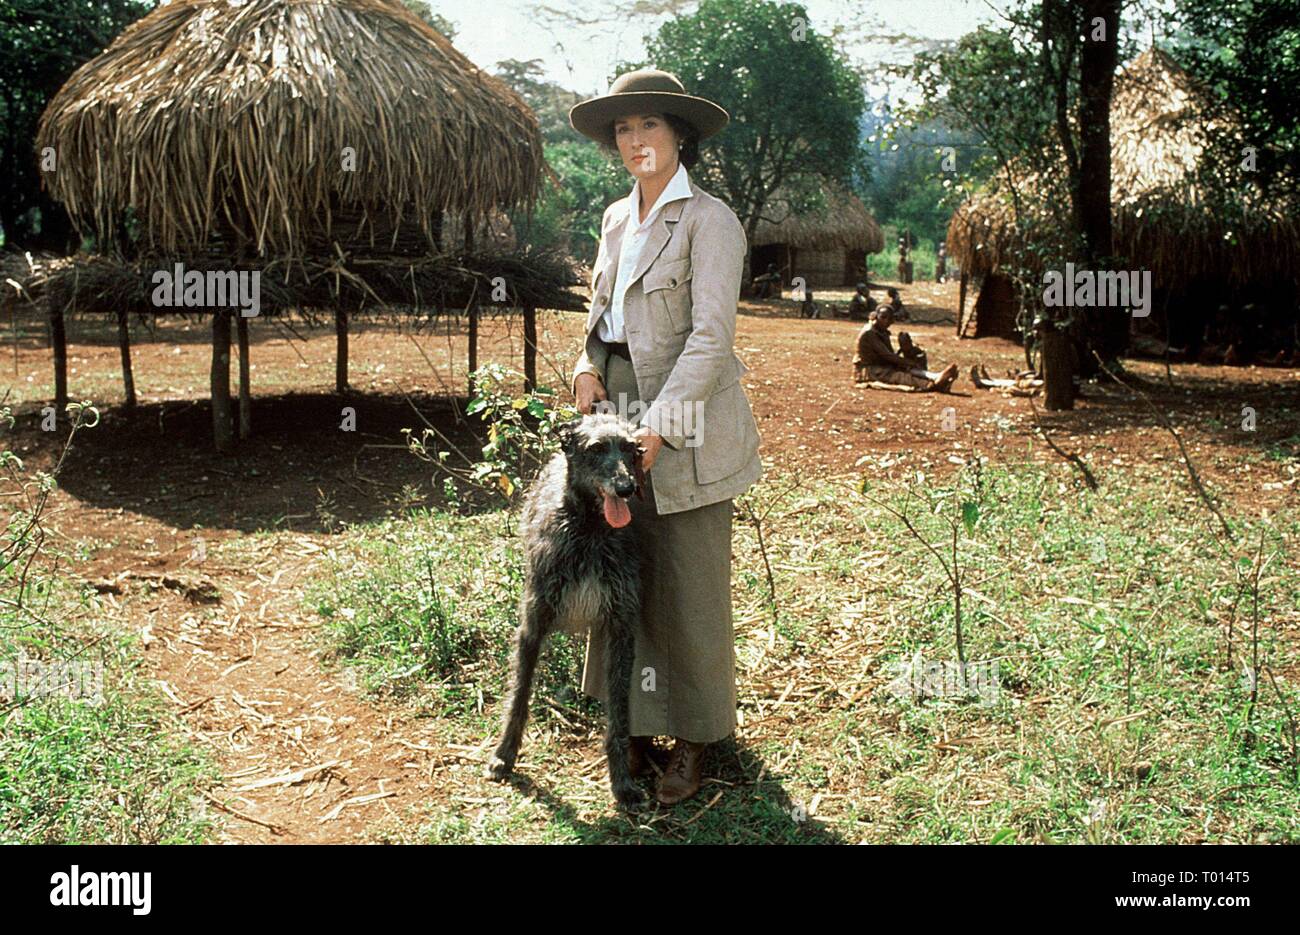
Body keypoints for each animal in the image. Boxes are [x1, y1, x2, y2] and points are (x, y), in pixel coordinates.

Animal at [483, 413, 650, 806]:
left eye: (632, 449)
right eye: (597, 448)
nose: (626, 487)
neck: (589, 529)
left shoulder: (621, 628)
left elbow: (619, 710)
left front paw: (621, 781)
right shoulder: (532, 625)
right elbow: (519, 695)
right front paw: (504, 755)